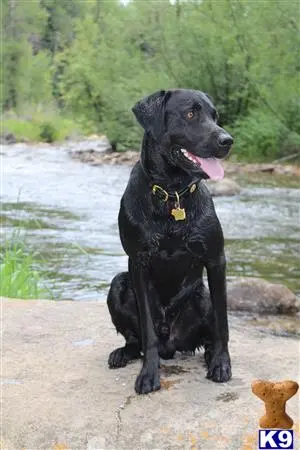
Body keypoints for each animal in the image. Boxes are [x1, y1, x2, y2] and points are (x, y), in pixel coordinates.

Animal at [106, 88, 233, 394]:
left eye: (215, 116)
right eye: (190, 113)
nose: (227, 141)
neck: (172, 193)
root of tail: (171, 344)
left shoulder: (216, 260)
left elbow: (223, 324)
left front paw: (221, 364)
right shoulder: (137, 262)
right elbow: (148, 332)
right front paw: (149, 374)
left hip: (202, 296)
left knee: (209, 334)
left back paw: (210, 355)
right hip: (118, 284)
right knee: (137, 340)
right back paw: (123, 353)